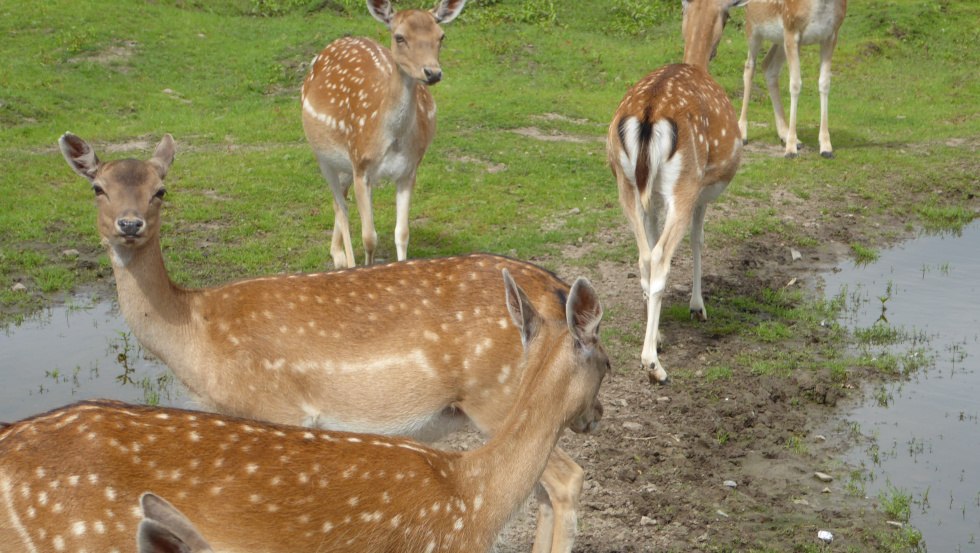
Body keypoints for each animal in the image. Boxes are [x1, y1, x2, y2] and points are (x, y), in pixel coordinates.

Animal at [61, 133, 600, 552]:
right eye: (98, 187)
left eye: (161, 190)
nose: (129, 225)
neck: (196, 335)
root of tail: (554, 287)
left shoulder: (276, 408)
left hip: (498, 397)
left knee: (565, 479)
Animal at [300, 0, 466, 268]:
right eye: (399, 37)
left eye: (441, 36)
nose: (432, 72)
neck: (393, 138)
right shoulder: (361, 166)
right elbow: (369, 237)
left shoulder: (409, 169)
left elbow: (403, 233)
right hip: (323, 154)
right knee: (340, 207)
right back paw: (345, 261)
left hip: (345, 164)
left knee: (341, 200)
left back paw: (337, 253)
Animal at [600, 0, 748, 384]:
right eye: (728, 15)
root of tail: (650, 111)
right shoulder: (702, 189)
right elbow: (699, 239)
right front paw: (698, 307)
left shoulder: (652, 196)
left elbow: (651, 240)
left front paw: (662, 328)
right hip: (685, 182)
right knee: (661, 256)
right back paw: (653, 365)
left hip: (625, 182)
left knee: (645, 254)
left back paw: (657, 338)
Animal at [740, 0, 848, 157]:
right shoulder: (791, 28)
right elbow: (795, 84)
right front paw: (790, 150)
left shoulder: (831, 35)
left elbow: (824, 83)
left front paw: (826, 147)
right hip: (753, 26)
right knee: (749, 67)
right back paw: (743, 134)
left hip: (780, 39)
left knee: (768, 66)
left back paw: (785, 135)